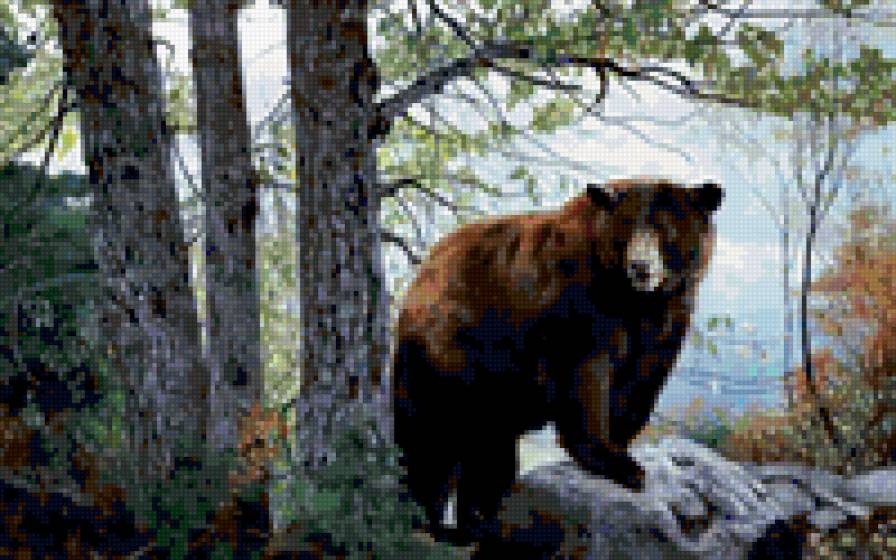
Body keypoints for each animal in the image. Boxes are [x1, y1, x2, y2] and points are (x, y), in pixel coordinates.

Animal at [392, 179, 723, 544]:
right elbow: (585, 378)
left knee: (490, 454)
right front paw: (618, 463)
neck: (635, 301)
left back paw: (477, 523)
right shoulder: (579, 306)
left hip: (494, 393)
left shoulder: (668, 321)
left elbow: (640, 384)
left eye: (665, 229)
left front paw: (622, 443)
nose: (640, 267)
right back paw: (430, 523)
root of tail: (421, 275)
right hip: (450, 357)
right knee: (431, 442)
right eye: (626, 227)